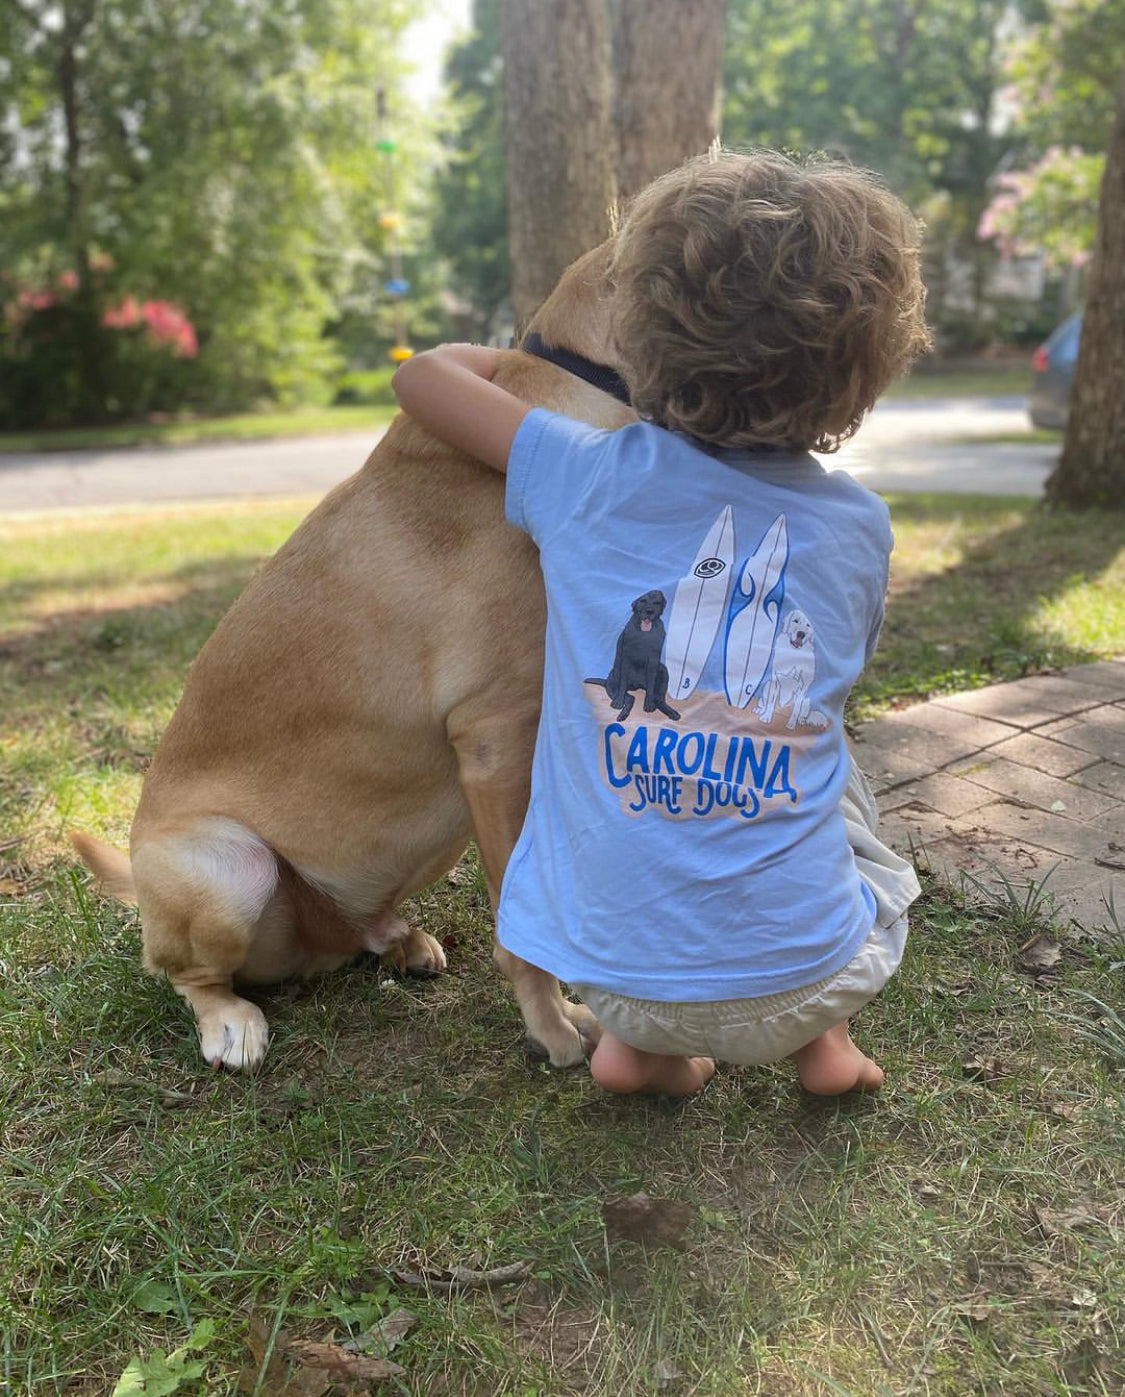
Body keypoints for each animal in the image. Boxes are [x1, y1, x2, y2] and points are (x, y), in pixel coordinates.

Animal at [72, 243, 631, 1067]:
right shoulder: (498, 740)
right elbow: (522, 928)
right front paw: (552, 1026)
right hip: (230, 868)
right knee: (188, 976)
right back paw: (230, 1019)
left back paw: (397, 939)